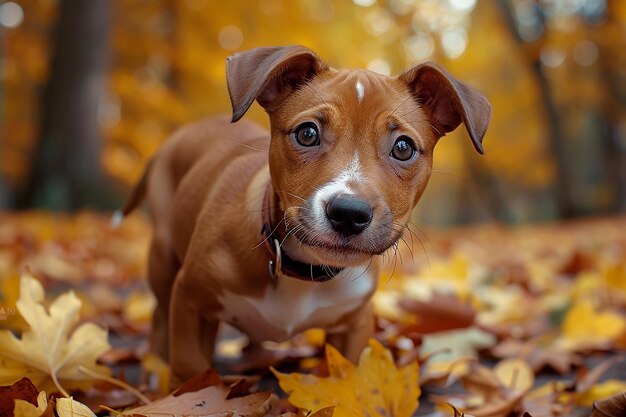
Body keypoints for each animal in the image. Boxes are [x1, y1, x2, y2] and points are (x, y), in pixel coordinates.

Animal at [117, 44, 488, 384]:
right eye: (307, 133)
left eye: (403, 147)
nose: (349, 213)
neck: (304, 269)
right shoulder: (190, 302)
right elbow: (191, 372)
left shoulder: (354, 325)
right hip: (164, 258)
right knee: (159, 316)